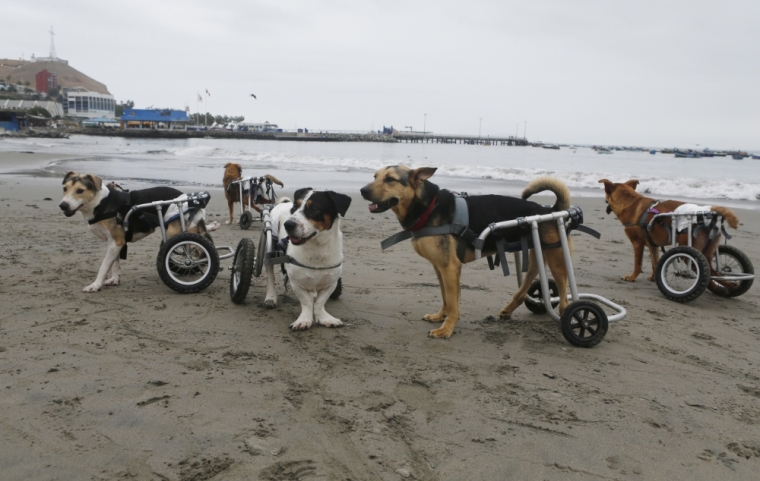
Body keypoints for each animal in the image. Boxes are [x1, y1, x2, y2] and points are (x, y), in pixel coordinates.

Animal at [58, 172, 214, 292]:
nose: (63, 205)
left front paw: (95, 285)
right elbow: (115, 263)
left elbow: (104, 266)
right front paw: (114, 279)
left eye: (80, 190)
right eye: (64, 188)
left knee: (194, 245)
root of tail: (191, 199)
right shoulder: (115, 243)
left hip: (174, 230)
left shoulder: (116, 242)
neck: (100, 203)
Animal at [262, 188, 352, 330]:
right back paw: (270, 297)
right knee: (270, 275)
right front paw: (304, 320)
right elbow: (307, 302)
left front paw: (324, 318)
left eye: (314, 208)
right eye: (295, 206)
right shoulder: (296, 283)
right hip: (269, 248)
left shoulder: (331, 283)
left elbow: (320, 302)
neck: (317, 250)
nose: (288, 224)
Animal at [360, 167, 568, 340]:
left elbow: (453, 303)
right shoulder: (440, 268)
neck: (428, 207)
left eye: (390, 179)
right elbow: (445, 296)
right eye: (375, 176)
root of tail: (548, 210)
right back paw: (510, 310)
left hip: (556, 258)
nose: (363, 191)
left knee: (564, 295)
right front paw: (440, 316)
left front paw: (446, 328)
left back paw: (567, 319)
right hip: (537, 254)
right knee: (527, 285)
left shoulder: (450, 268)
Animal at [600, 178, 736, 282]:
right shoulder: (653, 246)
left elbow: (638, 264)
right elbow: (655, 263)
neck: (630, 203)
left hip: (690, 251)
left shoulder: (637, 243)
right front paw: (655, 277)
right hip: (707, 250)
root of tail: (706, 213)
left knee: (708, 273)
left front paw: (632, 277)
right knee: (716, 274)